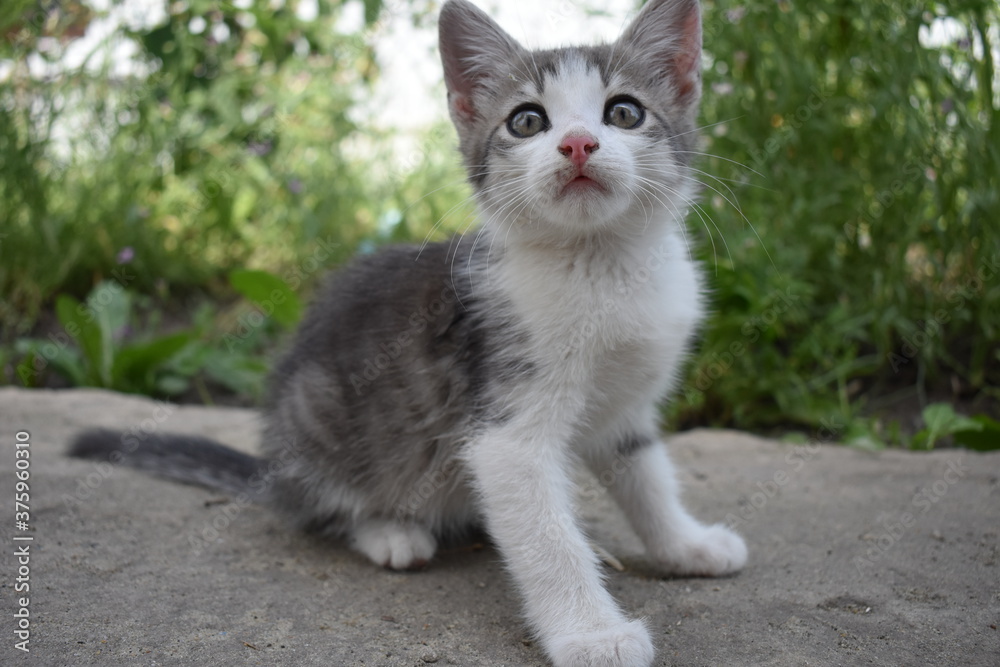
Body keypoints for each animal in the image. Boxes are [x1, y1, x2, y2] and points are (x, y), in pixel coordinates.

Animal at [70, 2, 748, 664]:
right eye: (527, 121)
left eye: (625, 112)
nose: (579, 143)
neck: (601, 265)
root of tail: (276, 468)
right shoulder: (505, 429)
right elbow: (549, 538)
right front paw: (591, 634)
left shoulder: (626, 407)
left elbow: (648, 479)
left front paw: (686, 545)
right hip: (317, 412)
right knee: (320, 506)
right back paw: (389, 530)